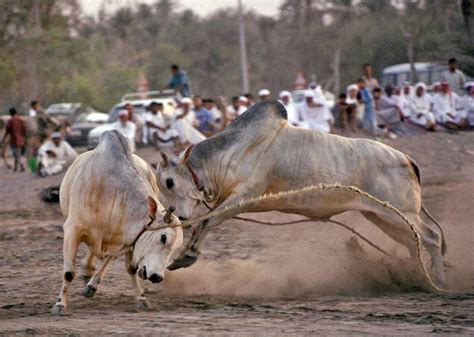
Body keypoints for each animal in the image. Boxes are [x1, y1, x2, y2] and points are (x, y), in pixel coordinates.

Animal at [52, 129, 183, 316]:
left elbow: (130, 268)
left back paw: (91, 283)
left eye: (176, 249)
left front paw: (141, 299)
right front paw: (60, 304)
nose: (157, 277)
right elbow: (69, 272)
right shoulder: (72, 230)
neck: (113, 192)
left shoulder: (130, 238)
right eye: (163, 237)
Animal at [156, 99, 448, 286]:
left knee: (430, 238)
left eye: (169, 182)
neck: (229, 152)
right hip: (380, 215)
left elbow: (206, 221)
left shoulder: (243, 198)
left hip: (399, 213)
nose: (178, 216)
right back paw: (417, 276)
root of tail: (406, 159)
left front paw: (185, 257)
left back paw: (438, 282)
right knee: (412, 242)